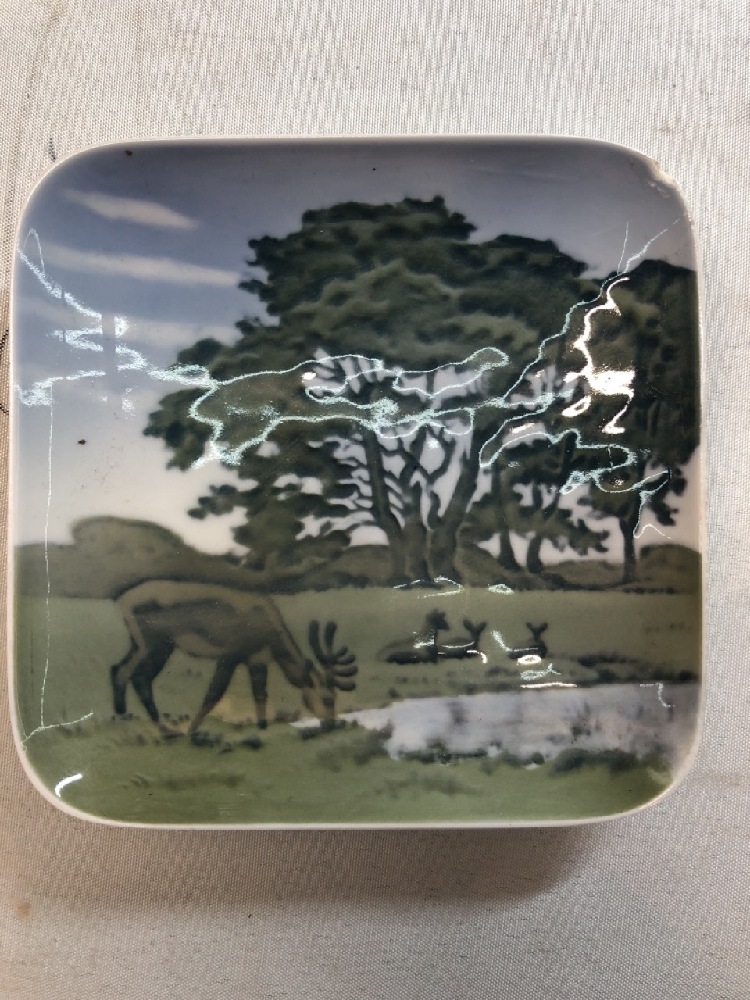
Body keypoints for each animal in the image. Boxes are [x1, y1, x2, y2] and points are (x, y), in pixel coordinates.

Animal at [109, 580, 357, 733]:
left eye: (335, 697)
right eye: (327, 698)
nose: (332, 723)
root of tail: (123, 601)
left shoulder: (257, 659)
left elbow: (260, 694)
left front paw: (263, 727)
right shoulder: (230, 656)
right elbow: (213, 693)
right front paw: (192, 730)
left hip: (151, 646)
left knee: (128, 672)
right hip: (154, 645)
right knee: (129, 672)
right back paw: (156, 726)